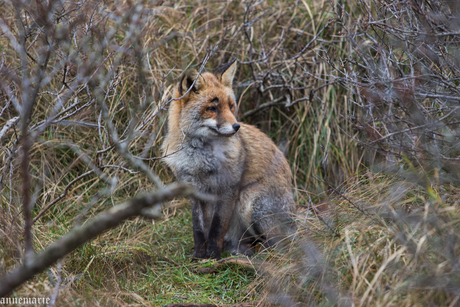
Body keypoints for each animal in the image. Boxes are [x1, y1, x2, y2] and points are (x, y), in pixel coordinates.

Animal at [162, 60, 296, 260]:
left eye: (231, 106)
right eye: (212, 108)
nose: (236, 126)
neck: (199, 159)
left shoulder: (228, 189)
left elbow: (217, 228)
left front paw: (212, 255)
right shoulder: (194, 190)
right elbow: (199, 229)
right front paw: (199, 255)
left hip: (249, 199)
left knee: (280, 244)